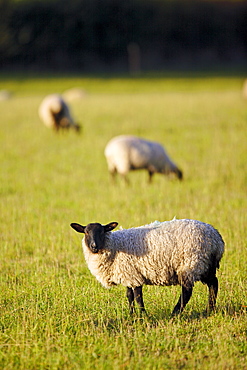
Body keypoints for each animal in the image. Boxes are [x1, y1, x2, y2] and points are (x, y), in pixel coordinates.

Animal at [70, 218, 225, 316]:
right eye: (86, 232)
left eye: (102, 231)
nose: (94, 246)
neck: (114, 245)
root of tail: (217, 238)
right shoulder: (128, 274)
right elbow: (129, 296)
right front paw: (131, 314)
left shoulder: (134, 276)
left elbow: (138, 297)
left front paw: (143, 316)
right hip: (206, 265)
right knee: (213, 284)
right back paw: (210, 309)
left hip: (191, 264)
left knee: (187, 292)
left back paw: (175, 313)